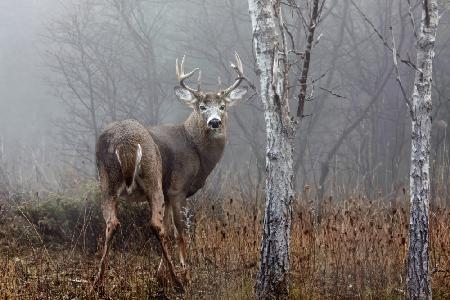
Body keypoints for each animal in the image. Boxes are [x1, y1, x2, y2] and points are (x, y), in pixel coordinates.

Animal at [91, 52, 246, 292]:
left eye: (223, 106)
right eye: (201, 106)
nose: (215, 122)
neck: (195, 148)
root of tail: (125, 143)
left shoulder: (167, 192)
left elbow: (168, 228)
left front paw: (159, 275)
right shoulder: (176, 188)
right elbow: (180, 231)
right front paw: (185, 274)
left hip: (107, 181)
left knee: (112, 223)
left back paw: (98, 282)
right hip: (152, 176)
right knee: (154, 224)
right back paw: (178, 281)